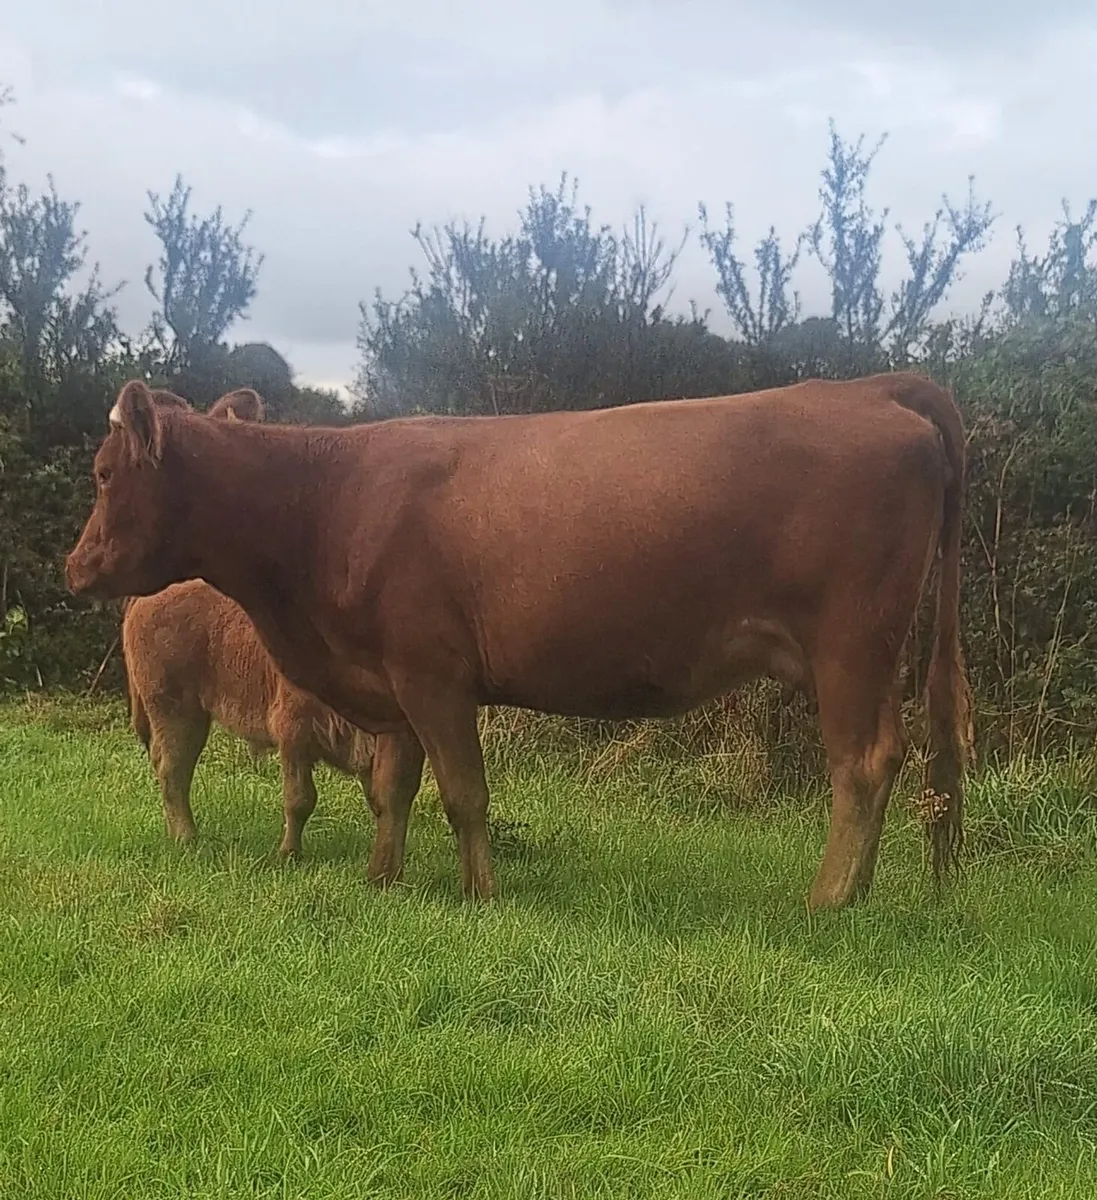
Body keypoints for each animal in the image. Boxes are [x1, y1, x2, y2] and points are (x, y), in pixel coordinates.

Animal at [121, 578, 377, 858]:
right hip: (178, 714)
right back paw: (187, 839)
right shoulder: (294, 735)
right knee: (173, 770)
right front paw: (289, 854)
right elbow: (300, 799)